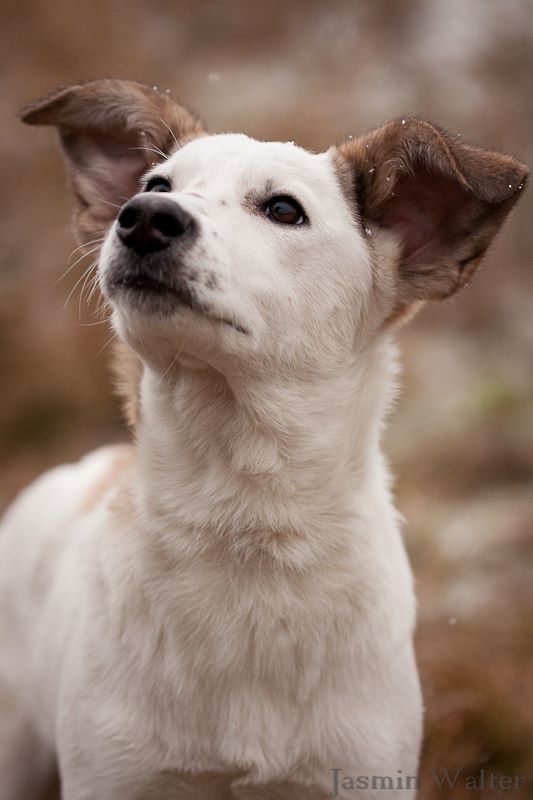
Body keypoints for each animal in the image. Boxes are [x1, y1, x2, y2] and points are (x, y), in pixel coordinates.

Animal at [0, 76, 524, 800]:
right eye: (156, 183)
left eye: (283, 209)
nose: (143, 216)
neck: (245, 519)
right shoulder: (115, 775)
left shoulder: (358, 774)